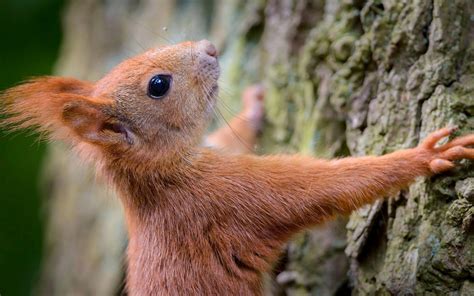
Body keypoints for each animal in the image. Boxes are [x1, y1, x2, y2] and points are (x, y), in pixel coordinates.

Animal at [2, 40, 474, 296]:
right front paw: (422, 155)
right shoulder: (227, 197)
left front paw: (254, 107)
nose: (210, 47)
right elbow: (321, 188)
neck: (164, 171)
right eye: (158, 85)